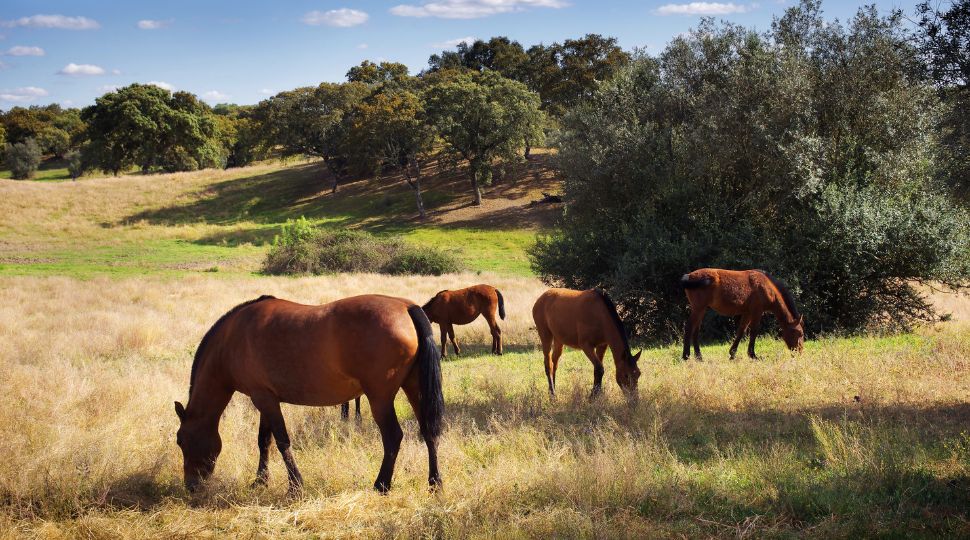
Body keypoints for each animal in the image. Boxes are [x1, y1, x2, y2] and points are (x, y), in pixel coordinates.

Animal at [174, 294, 444, 495]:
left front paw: (295, 486)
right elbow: (264, 441)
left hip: (380, 398)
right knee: (429, 432)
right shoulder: (265, 398)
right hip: (415, 388)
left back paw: (381, 485)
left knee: (393, 437)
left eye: (181, 440)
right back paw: (435, 483)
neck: (232, 338)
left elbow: (282, 441)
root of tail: (407, 307)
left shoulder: (264, 399)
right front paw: (260, 481)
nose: (191, 486)